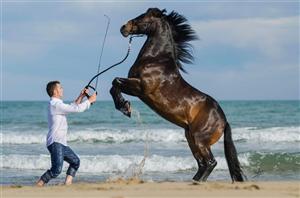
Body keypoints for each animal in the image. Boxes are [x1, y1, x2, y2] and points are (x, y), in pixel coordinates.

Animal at [109, 7, 245, 182]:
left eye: (143, 17)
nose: (123, 28)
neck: (156, 60)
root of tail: (224, 120)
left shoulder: (140, 88)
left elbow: (116, 82)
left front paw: (125, 107)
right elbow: (113, 85)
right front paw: (124, 107)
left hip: (199, 139)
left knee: (210, 162)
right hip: (190, 138)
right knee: (202, 163)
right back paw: (193, 181)